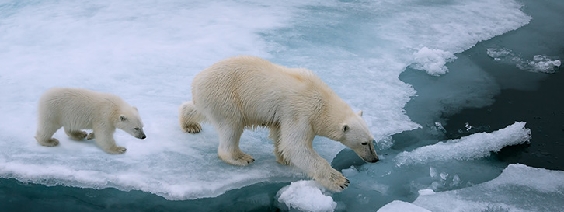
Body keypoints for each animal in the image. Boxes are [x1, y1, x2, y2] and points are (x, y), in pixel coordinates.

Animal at [178, 55, 376, 191]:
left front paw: (284, 158)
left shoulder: (286, 115)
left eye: (372, 141)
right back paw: (241, 157)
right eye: (364, 143)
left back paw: (189, 124)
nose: (375, 159)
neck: (322, 101)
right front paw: (341, 181)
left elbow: (281, 135)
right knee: (232, 126)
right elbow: (295, 146)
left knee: (199, 109)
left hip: (211, 99)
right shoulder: (301, 112)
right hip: (227, 97)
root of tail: (197, 81)